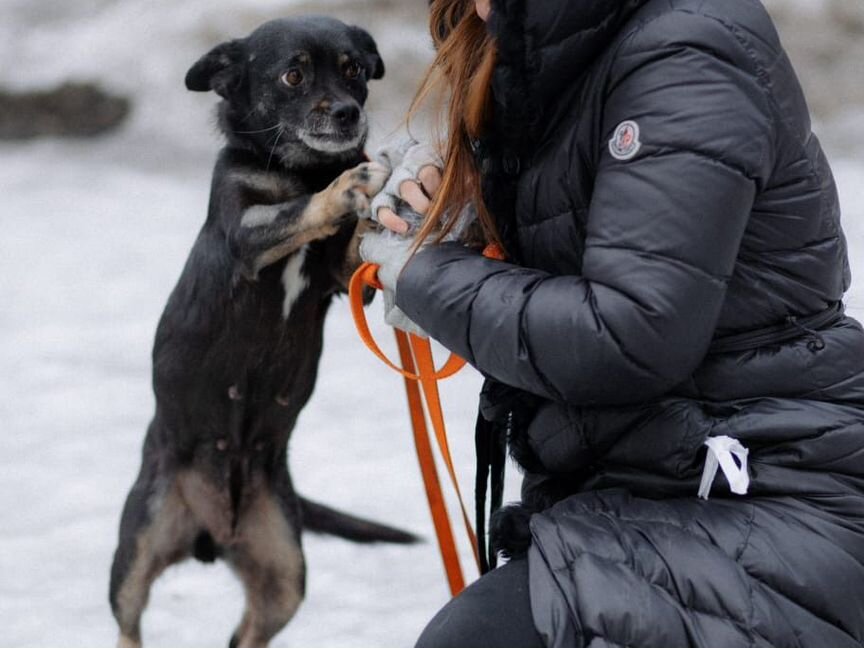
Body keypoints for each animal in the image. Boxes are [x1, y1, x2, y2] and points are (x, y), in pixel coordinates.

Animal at [108, 16, 418, 648]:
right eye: (293, 76)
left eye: (354, 69)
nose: (348, 113)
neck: (298, 168)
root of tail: (211, 535)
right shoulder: (248, 235)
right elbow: (297, 211)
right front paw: (348, 186)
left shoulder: (345, 278)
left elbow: (352, 243)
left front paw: (371, 200)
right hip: (137, 547)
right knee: (130, 623)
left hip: (283, 573)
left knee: (245, 634)